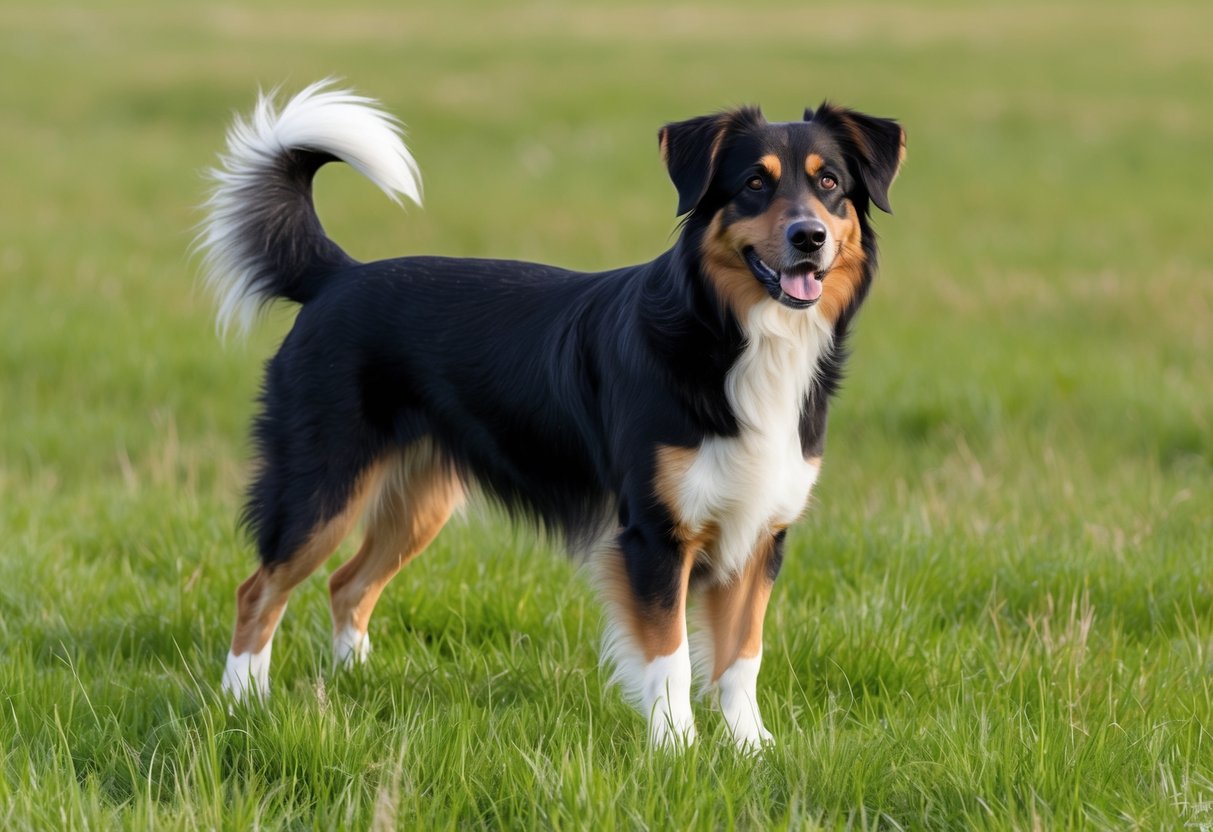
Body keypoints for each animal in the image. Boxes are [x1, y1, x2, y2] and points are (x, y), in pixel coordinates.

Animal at [198, 81, 902, 751]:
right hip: (322, 485)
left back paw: (354, 681)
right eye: (755, 183)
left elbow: (741, 657)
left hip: (419, 501)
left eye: (829, 184)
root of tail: (337, 277)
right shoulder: (654, 535)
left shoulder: (759, 531)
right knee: (258, 591)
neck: (734, 336)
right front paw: (675, 748)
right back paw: (241, 703)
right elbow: (671, 656)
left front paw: (749, 747)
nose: (808, 238)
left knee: (346, 583)